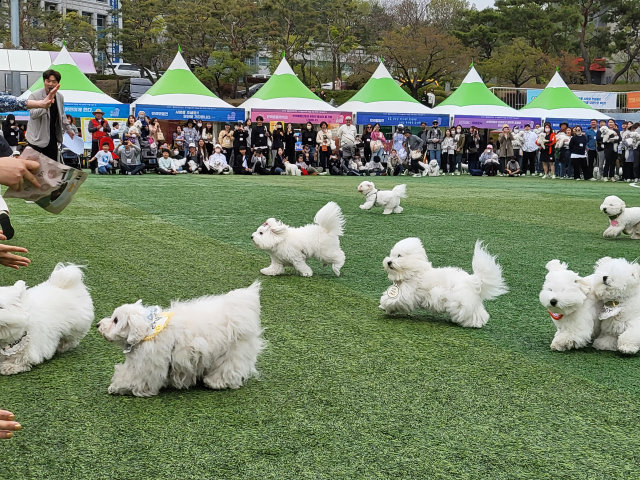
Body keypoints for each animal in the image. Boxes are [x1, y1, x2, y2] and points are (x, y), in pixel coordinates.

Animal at [97, 282, 262, 398]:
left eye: (116, 320)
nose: (98, 325)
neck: (149, 330)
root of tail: (240, 311)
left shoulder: (149, 364)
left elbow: (134, 378)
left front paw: (117, 387)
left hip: (232, 353)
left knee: (228, 369)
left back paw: (214, 382)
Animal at [378, 239, 508, 328]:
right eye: (391, 254)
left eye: (399, 255)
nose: (389, 262)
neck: (414, 271)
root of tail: (473, 280)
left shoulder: (407, 293)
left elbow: (393, 300)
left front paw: (385, 306)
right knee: (479, 313)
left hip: (460, 301)